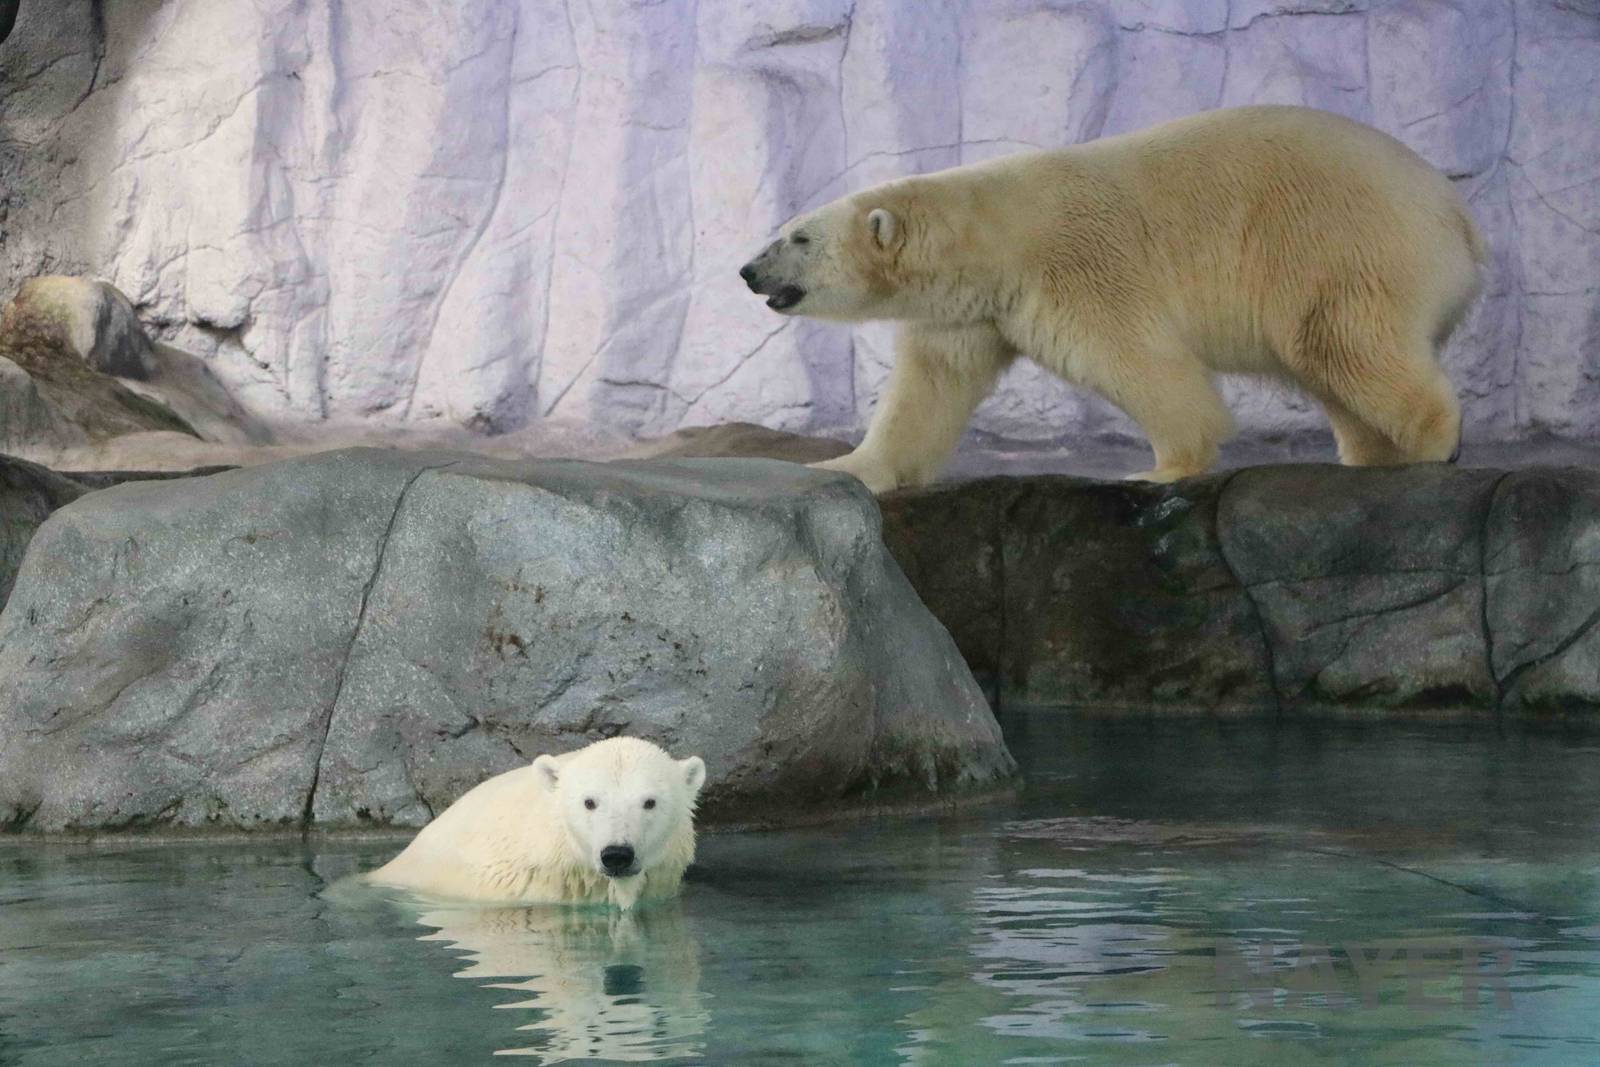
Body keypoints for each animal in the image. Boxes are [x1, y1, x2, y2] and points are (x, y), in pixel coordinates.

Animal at [738, 105, 1487, 491]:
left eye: (797, 237)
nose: (747, 271)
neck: (991, 231)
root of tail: (1457, 215)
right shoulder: (966, 313)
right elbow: (927, 390)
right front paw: (847, 465)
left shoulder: (1076, 268)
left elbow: (1139, 361)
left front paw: (1159, 470)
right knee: (1332, 363)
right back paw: (1371, 454)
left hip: (1338, 242)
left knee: (1341, 341)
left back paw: (1430, 445)